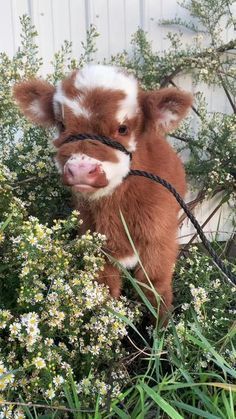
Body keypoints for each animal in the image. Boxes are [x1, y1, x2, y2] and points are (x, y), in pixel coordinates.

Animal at [13, 65, 193, 320]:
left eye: (123, 128)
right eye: (62, 125)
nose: (80, 169)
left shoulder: (160, 243)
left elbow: (155, 289)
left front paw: (161, 329)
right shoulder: (97, 247)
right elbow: (105, 293)